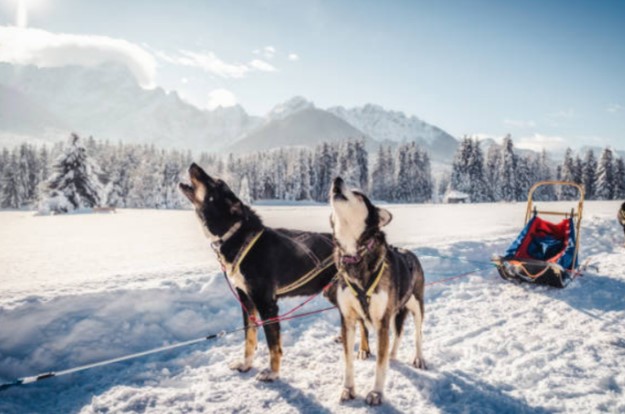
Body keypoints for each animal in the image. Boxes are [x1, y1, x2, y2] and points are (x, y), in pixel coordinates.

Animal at [178, 164, 368, 382]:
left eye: (215, 182)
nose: (193, 165)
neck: (238, 237)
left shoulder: (266, 304)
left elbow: (273, 345)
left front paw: (273, 372)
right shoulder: (246, 301)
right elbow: (249, 338)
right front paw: (246, 364)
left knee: (363, 321)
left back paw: (364, 349)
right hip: (332, 291)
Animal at [326, 176, 424, 406]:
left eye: (359, 194)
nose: (337, 179)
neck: (356, 256)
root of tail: (411, 255)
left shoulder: (381, 321)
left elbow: (380, 364)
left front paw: (376, 393)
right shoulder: (348, 319)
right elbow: (348, 361)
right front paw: (348, 389)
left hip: (417, 307)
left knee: (417, 334)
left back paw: (419, 358)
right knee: (398, 334)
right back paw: (393, 354)